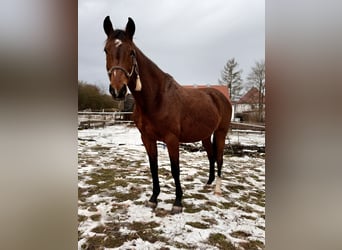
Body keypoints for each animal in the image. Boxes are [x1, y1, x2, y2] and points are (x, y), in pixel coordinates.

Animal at [104, 16, 232, 214]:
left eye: (131, 52)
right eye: (106, 50)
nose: (118, 90)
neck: (157, 98)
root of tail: (220, 97)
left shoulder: (172, 139)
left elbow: (175, 169)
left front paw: (178, 202)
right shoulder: (147, 138)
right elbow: (153, 167)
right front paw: (153, 198)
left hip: (221, 133)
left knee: (219, 158)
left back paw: (217, 189)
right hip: (205, 135)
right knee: (211, 156)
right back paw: (208, 183)